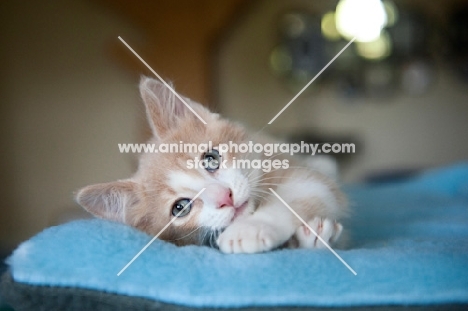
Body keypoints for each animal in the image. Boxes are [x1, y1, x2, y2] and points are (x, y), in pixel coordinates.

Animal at [76, 77, 348, 254]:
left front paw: (248, 230)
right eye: (181, 208)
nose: (225, 197)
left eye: (211, 158)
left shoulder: (295, 169)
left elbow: (303, 191)